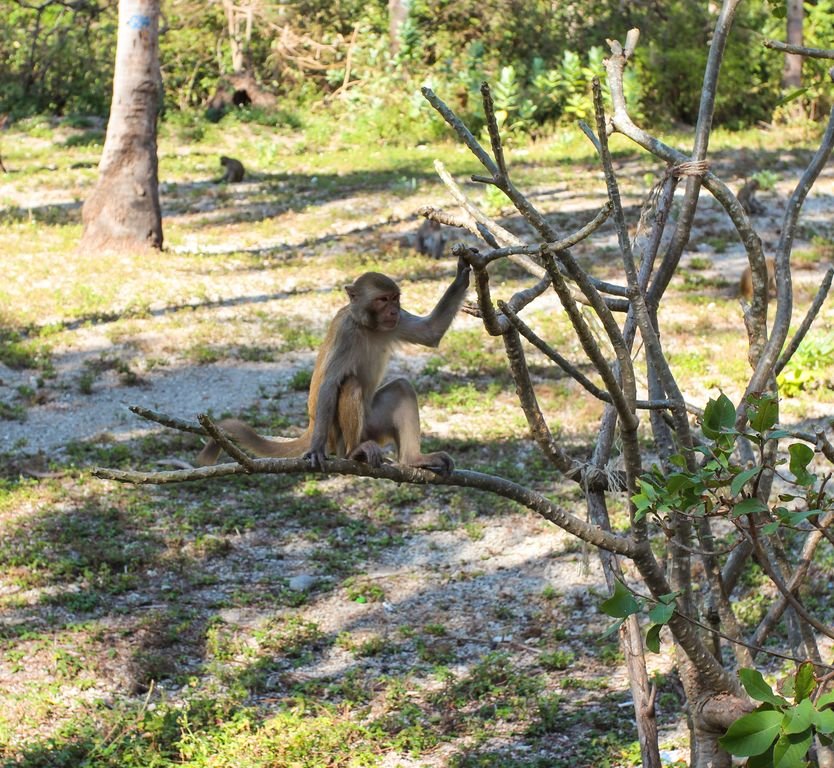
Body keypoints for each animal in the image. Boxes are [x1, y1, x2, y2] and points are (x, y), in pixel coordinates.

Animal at [193, 260, 468, 474]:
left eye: (395, 298)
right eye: (382, 300)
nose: (393, 310)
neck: (367, 326)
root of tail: (313, 424)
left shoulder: (396, 323)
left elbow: (430, 332)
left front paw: (463, 272)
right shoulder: (346, 333)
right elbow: (330, 383)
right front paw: (316, 450)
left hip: (373, 425)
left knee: (401, 387)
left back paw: (413, 459)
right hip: (335, 434)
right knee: (350, 385)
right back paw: (354, 453)